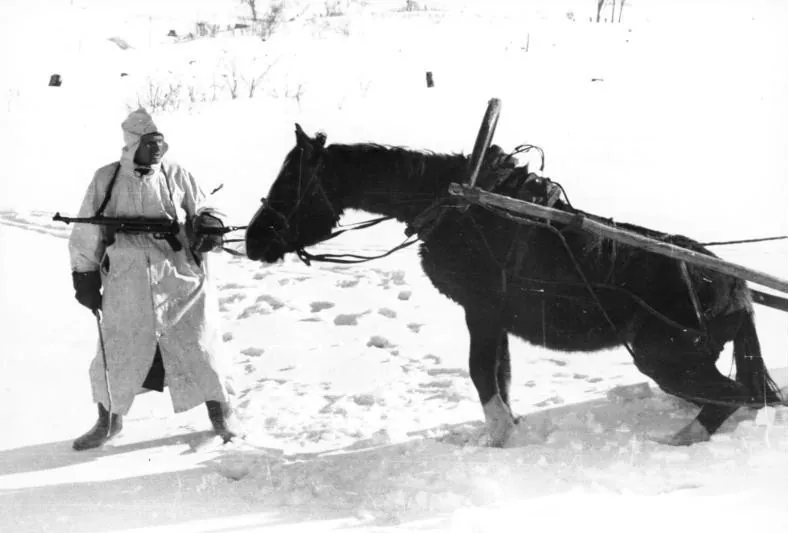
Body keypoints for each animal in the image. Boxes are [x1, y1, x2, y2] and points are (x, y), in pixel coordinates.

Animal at [244, 123, 782, 446]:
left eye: (291, 183)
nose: (253, 239)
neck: (459, 207)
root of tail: (734, 285)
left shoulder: (480, 312)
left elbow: (483, 373)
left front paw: (499, 435)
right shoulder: (493, 318)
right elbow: (500, 373)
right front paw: (507, 428)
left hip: (664, 357)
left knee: (737, 396)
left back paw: (680, 439)